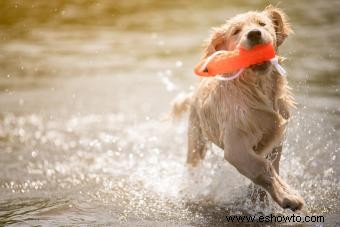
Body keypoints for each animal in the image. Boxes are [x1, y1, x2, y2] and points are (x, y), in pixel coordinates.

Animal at [171, 5, 304, 211]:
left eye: (262, 24)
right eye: (236, 31)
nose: (254, 34)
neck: (257, 89)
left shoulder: (276, 137)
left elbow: (271, 165)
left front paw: (261, 199)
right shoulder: (235, 146)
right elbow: (262, 168)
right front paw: (288, 197)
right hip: (196, 138)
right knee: (193, 163)